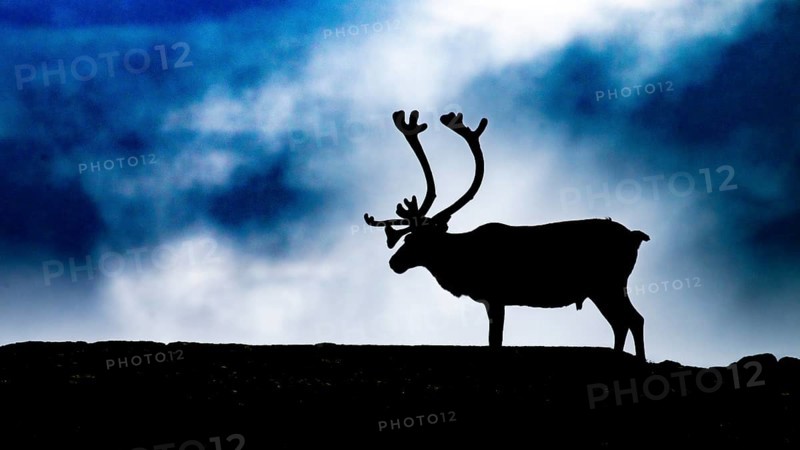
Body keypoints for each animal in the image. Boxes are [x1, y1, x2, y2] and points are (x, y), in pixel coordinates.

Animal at [364, 110, 650, 360]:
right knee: (621, 323)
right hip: (600, 289)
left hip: (609, 283)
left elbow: (495, 340)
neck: (461, 260)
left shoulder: (495, 295)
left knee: (634, 319)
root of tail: (636, 237)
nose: (394, 262)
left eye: (416, 240)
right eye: (404, 238)